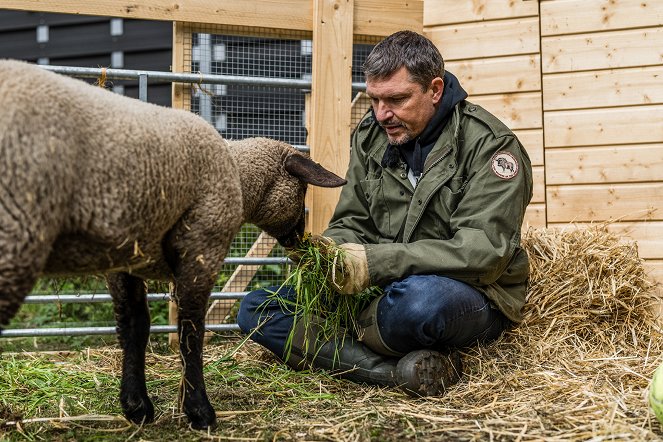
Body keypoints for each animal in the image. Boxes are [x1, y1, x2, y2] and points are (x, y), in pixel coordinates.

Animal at [0, 60, 344, 430]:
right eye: (302, 191)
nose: (301, 241)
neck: (237, 176)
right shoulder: (201, 248)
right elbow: (191, 331)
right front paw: (198, 410)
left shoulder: (125, 260)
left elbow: (134, 327)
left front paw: (137, 406)